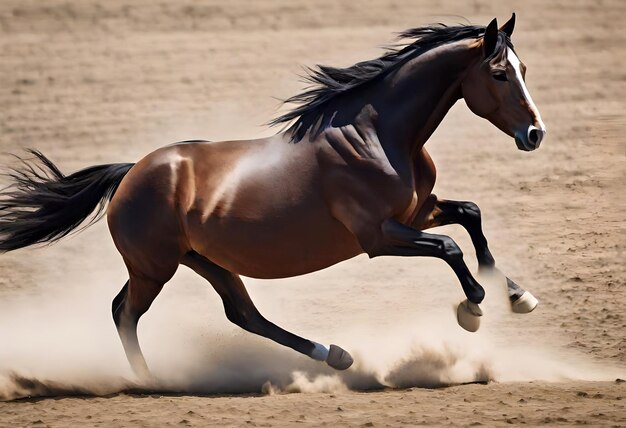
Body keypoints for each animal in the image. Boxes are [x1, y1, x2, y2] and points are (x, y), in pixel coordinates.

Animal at [0, 15, 544, 380]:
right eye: (499, 73)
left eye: (524, 67)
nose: (535, 134)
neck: (378, 133)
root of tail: (130, 173)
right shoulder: (378, 236)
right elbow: (450, 247)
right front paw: (473, 308)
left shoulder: (419, 212)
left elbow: (470, 216)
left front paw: (518, 295)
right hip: (155, 268)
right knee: (125, 313)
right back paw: (149, 382)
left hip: (205, 261)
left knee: (243, 315)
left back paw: (336, 354)